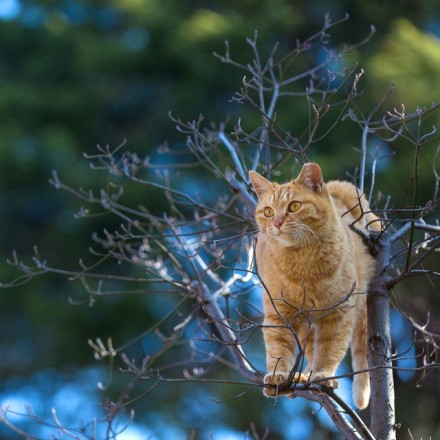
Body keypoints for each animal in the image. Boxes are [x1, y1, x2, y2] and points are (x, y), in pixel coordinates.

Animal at [249, 162, 380, 410]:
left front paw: (322, 375)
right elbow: (278, 348)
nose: (277, 223)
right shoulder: (279, 315)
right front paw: (279, 375)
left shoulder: (339, 313)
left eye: (294, 206)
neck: (302, 266)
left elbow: (330, 349)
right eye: (268, 211)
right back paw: (301, 376)